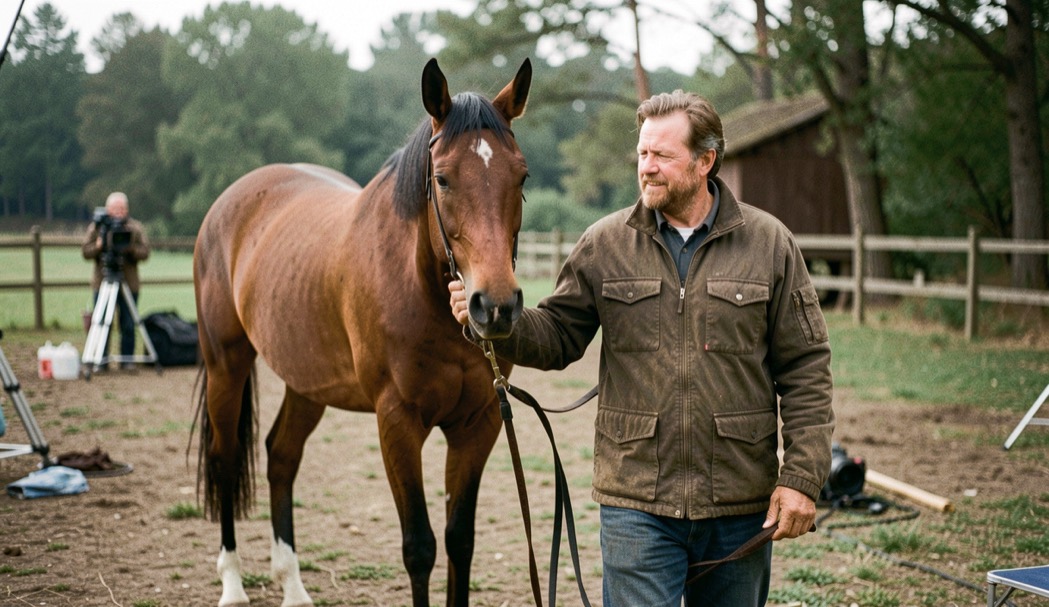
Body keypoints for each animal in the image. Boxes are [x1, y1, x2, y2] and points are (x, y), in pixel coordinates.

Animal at [193, 57, 531, 607]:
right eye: (442, 179)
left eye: (521, 175)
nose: (496, 307)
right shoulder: (397, 422)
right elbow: (420, 546)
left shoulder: (478, 424)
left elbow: (460, 540)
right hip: (227, 364)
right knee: (225, 460)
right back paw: (233, 585)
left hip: (307, 382)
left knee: (281, 457)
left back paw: (293, 587)